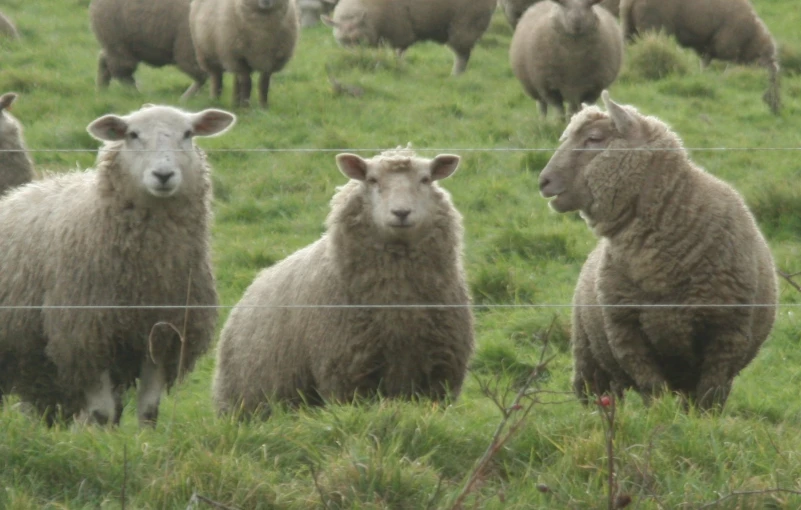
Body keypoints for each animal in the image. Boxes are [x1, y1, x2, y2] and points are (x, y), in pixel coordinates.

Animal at [0, 103, 238, 426]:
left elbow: (149, 410)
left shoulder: (160, 334)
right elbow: (102, 413)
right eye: (132, 135)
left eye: (188, 133)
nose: (163, 174)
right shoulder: (85, 336)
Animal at [212, 145, 476, 416]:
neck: (398, 307)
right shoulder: (348, 374)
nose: (401, 212)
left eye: (425, 179)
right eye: (372, 180)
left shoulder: (440, 375)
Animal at [320, 0, 496, 76]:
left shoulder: (400, 29)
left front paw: (398, 67)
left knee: (462, 55)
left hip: (465, 24)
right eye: (343, 42)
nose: (355, 59)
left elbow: (398, 52)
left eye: (358, 40)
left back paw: (456, 75)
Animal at [536, 91, 776, 410]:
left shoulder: (727, 335)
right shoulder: (627, 333)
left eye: (594, 138)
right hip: (590, 356)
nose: (543, 181)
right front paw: (660, 417)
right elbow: (654, 391)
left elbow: (709, 400)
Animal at [620, 0, 780, 114]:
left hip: (630, 28)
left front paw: (703, 78)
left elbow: (704, 65)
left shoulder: (707, 49)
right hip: (652, 28)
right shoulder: (727, 49)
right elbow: (726, 69)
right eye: (771, 79)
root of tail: (631, 2)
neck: (751, 38)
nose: (776, 107)